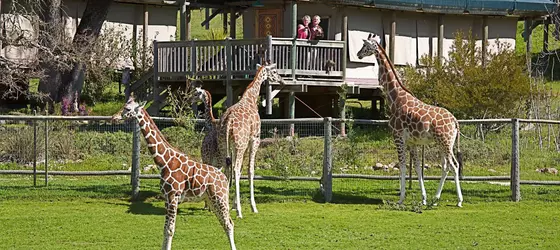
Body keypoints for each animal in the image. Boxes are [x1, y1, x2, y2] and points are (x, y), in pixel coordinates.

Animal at [111, 94, 236, 250]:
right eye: (124, 106)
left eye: (127, 109)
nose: (114, 117)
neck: (164, 162)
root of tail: (224, 178)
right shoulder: (166, 197)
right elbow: (165, 229)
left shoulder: (173, 196)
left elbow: (170, 229)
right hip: (211, 200)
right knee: (225, 222)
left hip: (220, 197)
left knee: (229, 224)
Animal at [358, 32, 464, 207]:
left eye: (365, 46)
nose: (358, 54)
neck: (395, 98)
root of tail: (455, 122)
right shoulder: (412, 142)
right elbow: (417, 168)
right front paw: (423, 198)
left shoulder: (398, 136)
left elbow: (402, 166)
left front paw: (401, 199)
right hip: (444, 143)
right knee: (445, 166)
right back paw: (435, 199)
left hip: (445, 142)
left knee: (454, 166)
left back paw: (459, 201)